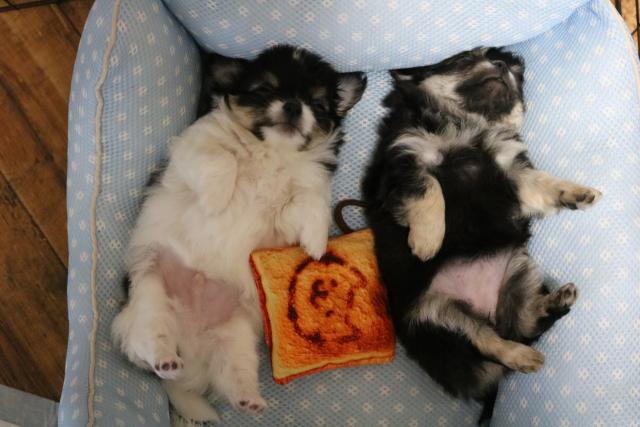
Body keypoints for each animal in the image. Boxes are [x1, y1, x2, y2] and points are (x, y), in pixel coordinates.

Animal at [112, 45, 366, 422]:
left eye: (317, 105)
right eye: (264, 90)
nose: (294, 105)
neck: (270, 150)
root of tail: (191, 349)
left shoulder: (294, 204)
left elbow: (311, 200)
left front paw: (316, 242)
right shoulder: (193, 149)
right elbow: (223, 160)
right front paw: (217, 199)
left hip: (236, 333)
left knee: (232, 372)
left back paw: (249, 399)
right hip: (149, 290)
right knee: (145, 341)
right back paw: (165, 359)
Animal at [361, 47, 601, 421]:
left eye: (519, 75)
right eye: (464, 60)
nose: (502, 66)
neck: (468, 125)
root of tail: (485, 309)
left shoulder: (514, 175)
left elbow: (544, 183)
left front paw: (576, 193)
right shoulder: (403, 162)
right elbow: (430, 186)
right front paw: (429, 240)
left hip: (517, 270)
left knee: (522, 325)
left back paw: (553, 306)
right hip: (437, 313)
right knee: (488, 340)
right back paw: (521, 354)